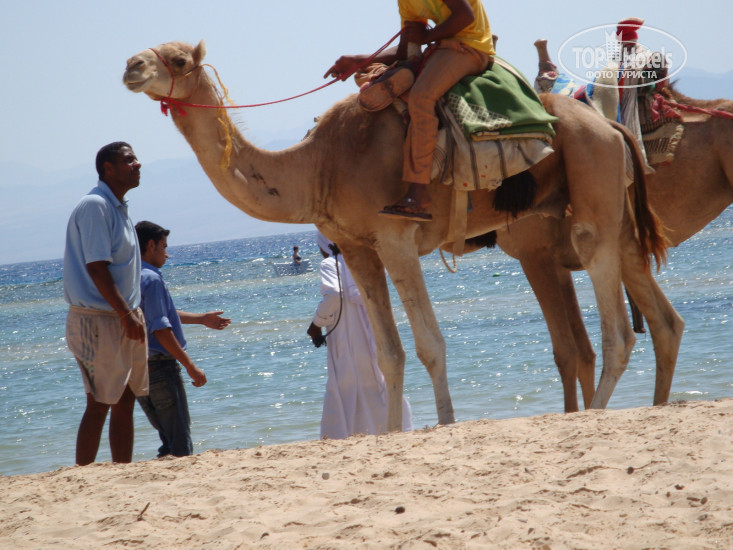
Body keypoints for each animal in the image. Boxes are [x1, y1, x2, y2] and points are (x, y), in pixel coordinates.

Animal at [123, 40, 668, 430]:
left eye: (176, 58)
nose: (131, 65)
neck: (319, 166)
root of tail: (610, 128)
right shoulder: (357, 248)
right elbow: (389, 354)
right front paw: (387, 431)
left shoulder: (396, 239)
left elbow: (429, 343)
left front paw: (446, 422)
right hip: (608, 206)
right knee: (651, 310)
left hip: (591, 181)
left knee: (617, 321)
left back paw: (596, 412)